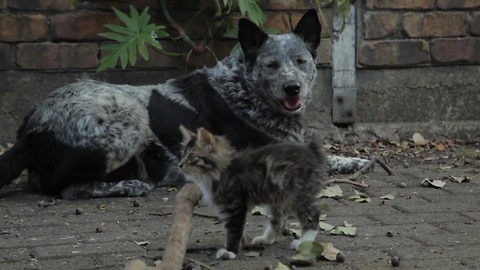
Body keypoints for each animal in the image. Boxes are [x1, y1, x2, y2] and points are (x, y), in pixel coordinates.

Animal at [0, 9, 368, 199]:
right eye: (270, 64)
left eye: (301, 61)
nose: (293, 89)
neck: (244, 89)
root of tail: (32, 126)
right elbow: (313, 157)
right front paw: (351, 161)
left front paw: (354, 160)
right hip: (128, 116)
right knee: (63, 189)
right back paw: (129, 185)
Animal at [179, 125, 326, 260]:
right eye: (182, 155)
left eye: (191, 156)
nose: (180, 165)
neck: (218, 172)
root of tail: (310, 149)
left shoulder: (235, 206)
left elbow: (233, 231)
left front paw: (230, 251)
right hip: (280, 196)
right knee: (279, 219)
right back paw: (266, 239)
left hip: (299, 195)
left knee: (313, 216)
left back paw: (304, 241)